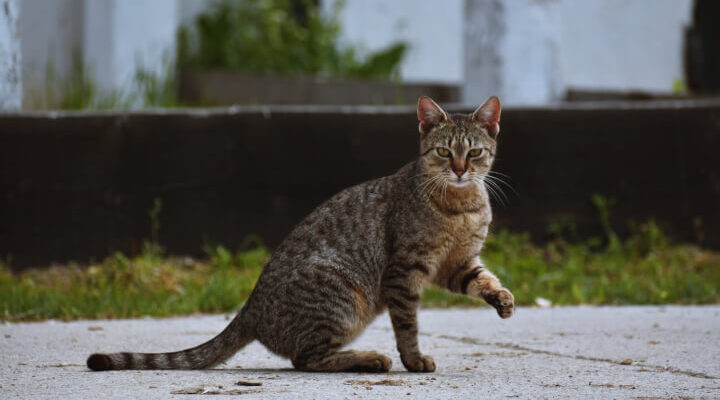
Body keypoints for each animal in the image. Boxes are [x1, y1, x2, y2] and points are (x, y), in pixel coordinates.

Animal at [88, 95, 512, 374]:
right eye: (443, 152)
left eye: (474, 153)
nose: (459, 169)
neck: (461, 205)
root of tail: (251, 307)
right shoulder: (405, 270)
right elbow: (407, 325)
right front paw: (413, 359)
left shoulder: (456, 263)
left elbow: (482, 280)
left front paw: (502, 298)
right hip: (343, 297)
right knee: (305, 359)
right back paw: (370, 359)